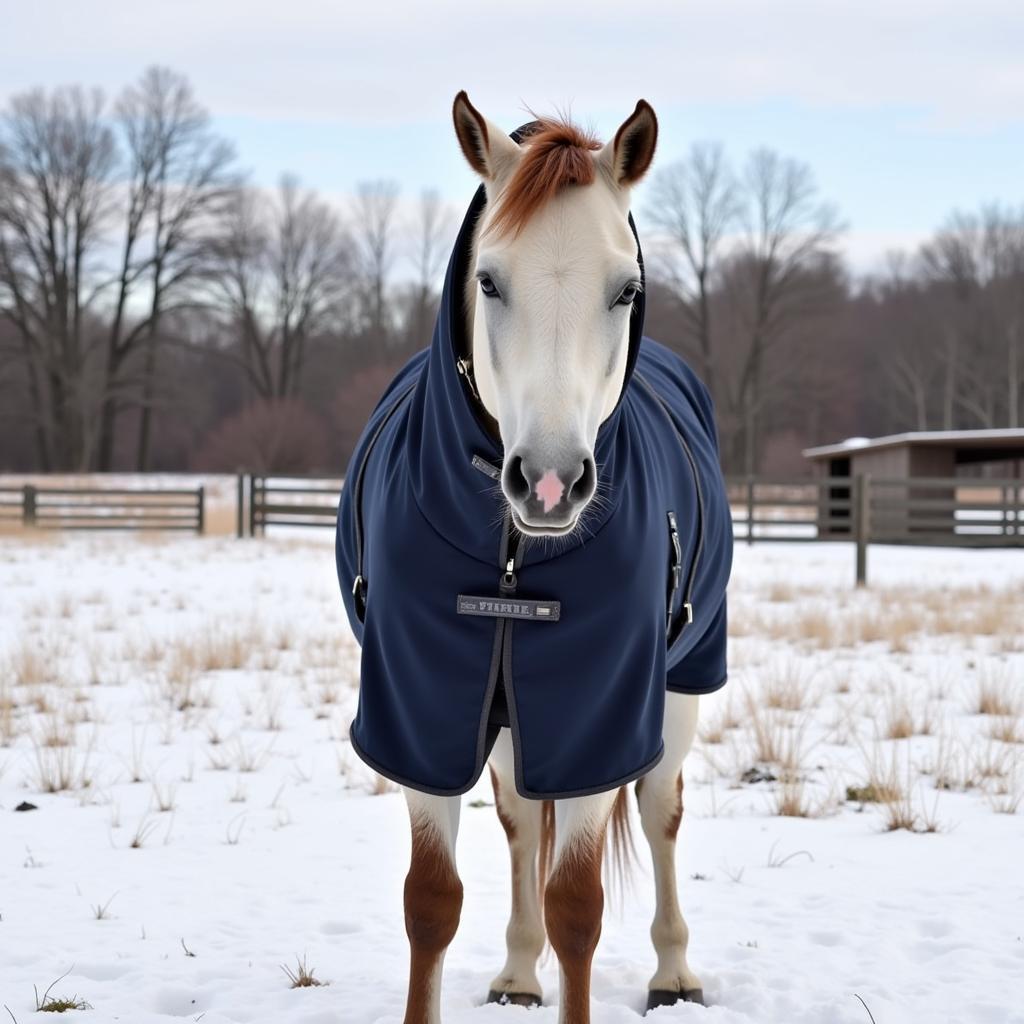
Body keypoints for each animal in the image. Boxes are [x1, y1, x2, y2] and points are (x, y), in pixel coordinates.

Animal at [339, 92, 733, 1019]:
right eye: (488, 280)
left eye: (626, 289)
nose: (550, 483)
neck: (516, 563)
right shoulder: (423, 713)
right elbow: (432, 903)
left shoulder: (597, 716)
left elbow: (578, 907)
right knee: (522, 819)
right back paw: (519, 973)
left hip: (679, 691)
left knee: (661, 813)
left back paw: (673, 971)